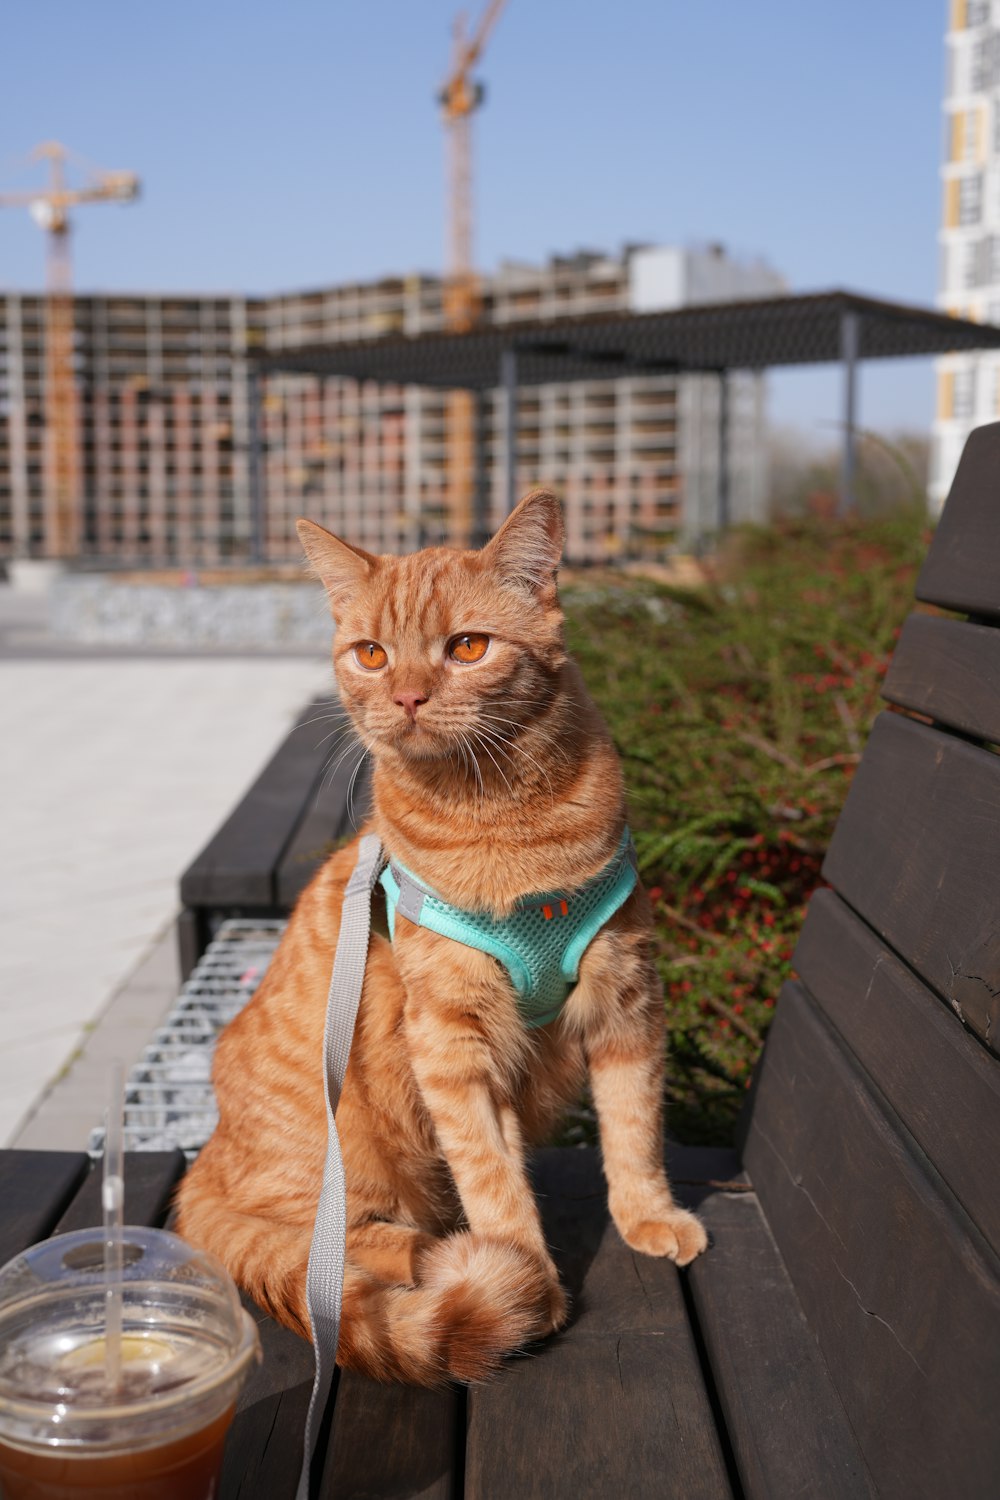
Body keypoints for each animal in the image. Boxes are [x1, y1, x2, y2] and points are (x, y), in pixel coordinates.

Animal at [176, 492, 707, 1380]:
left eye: (466, 647)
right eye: (372, 653)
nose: (408, 697)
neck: (505, 831)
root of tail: (200, 1170)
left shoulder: (626, 1003)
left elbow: (634, 1129)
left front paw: (648, 1215)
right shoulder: (451, 1046)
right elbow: (495, 1185)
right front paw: (530, 1285)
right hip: (348, 1160)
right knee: (330, 1251)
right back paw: (430, 1254)